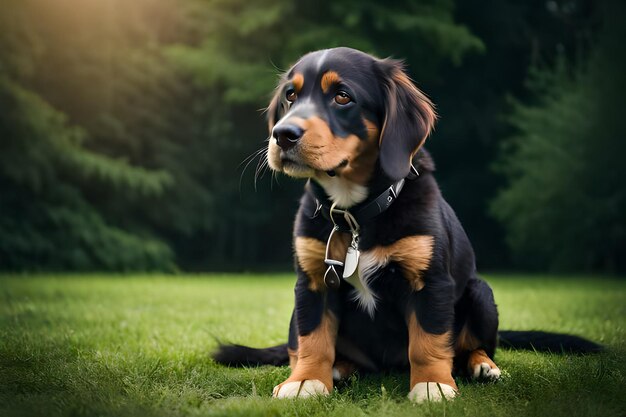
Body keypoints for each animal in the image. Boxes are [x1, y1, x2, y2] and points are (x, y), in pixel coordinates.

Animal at [213, 47, 600, 402]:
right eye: (291, 96)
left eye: (343, 96)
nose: (282, 135)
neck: (355, 213)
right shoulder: (312, 282)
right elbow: (313, 339)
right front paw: (306, 380)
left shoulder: (430, 282)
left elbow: (428, 341)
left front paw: (432, 386)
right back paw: (339, 369)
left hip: (481, 292)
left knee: (473, 346)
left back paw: (482, 366)